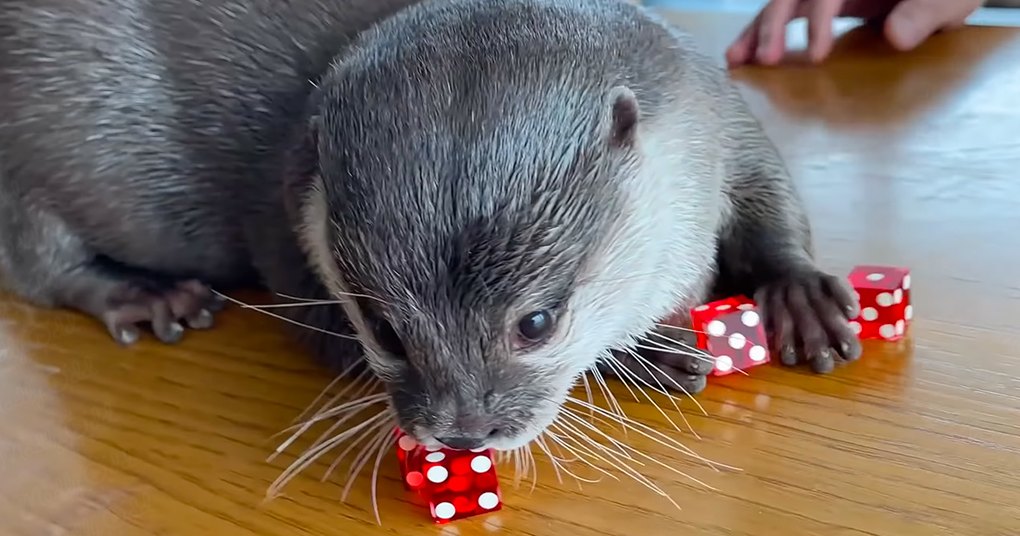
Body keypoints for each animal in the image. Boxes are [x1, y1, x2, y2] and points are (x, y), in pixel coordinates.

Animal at [0, 0, 861, 452]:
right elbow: (322, 337)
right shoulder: (286, 222)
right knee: (41, 266)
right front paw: (645, 356)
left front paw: (802, 296)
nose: (461, 433)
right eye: (383, 330)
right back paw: (146, 296)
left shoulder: (708, 107)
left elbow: (769, 191)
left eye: (537, 323)